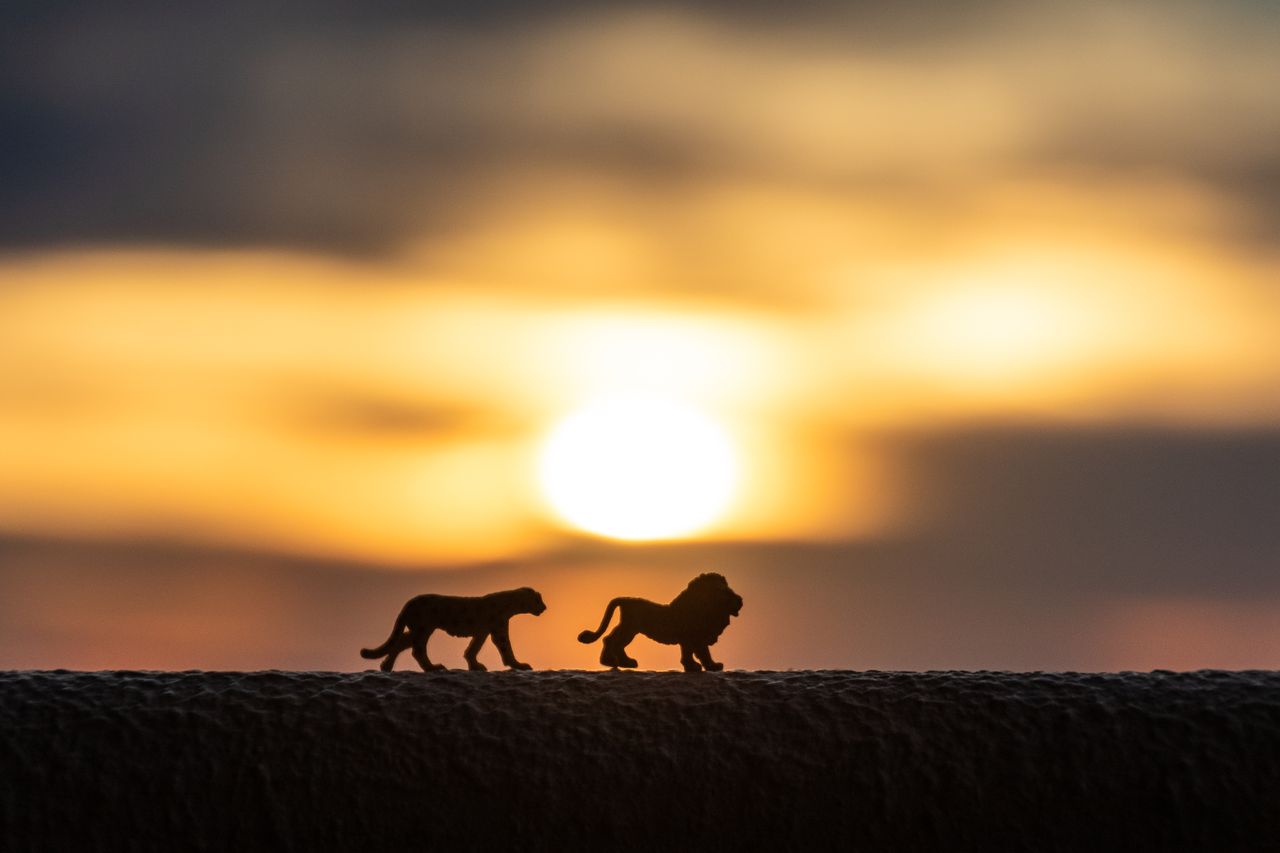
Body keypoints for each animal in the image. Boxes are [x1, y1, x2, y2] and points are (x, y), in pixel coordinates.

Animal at [360, 587, 546, 672]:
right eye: (538, 600)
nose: (544, 607)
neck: (509, 604)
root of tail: (409, 603)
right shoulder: (497, 629)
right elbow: (506, 647)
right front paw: (518, 665)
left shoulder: (482, 631)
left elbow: (473, 648)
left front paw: (474, 665)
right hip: (423, 628)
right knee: (416, 649)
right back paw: (432, 667)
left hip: (420, 629)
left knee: (400, 643)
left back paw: (386, 666)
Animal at [577, 573, 742, 672]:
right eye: (725, 592)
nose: (740, 600)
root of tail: (624, 599)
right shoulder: (693, 638)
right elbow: (702, 653)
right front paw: (706, 666)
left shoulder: (690, 639)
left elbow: (692, 653)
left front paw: (698, 666)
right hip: (629, 628)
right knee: (610, 640)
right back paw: (610, 661)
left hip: (629, 629)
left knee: (617, 644)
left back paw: (626, 662)